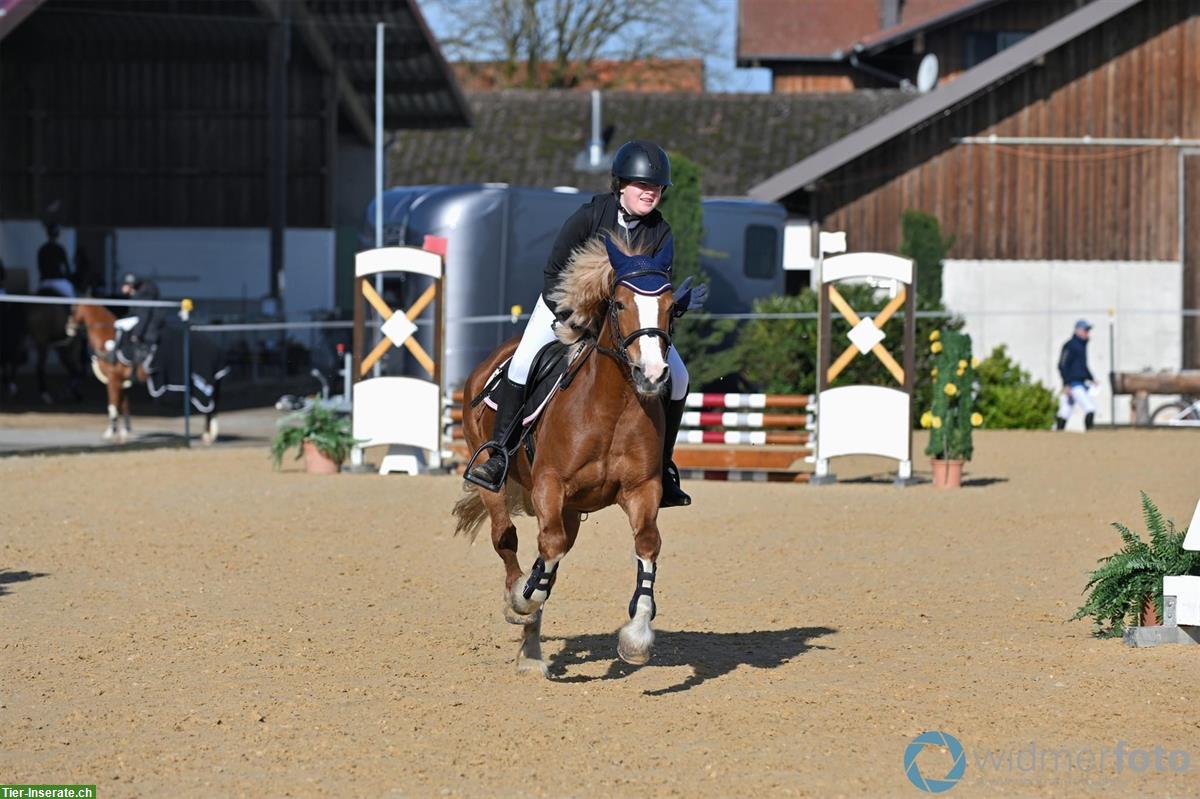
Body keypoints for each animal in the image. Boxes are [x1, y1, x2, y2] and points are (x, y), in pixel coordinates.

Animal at [68, 302, 224, 443]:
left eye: (73, 309)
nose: (69, 328)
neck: (109, 340)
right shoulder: (123, 381)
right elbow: (124, 406)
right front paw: (125, 432)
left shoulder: (113, 379)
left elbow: (113, 406)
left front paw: (109, 433)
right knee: (211, 406)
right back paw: (208, 433)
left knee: (209, 407)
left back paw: (209, 435)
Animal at [451, 233, 676, 676]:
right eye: (619, 304)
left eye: (672, 305)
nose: (652, 375)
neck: (613, 406)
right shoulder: (549, 485)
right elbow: (547, 549)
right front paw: (521, 600)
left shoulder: (642, 489)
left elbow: (646, 544)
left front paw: (637, 637)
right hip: (492, 477)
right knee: (507, 536)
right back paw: (521, 610)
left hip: (572, 509)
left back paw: (531, 649)